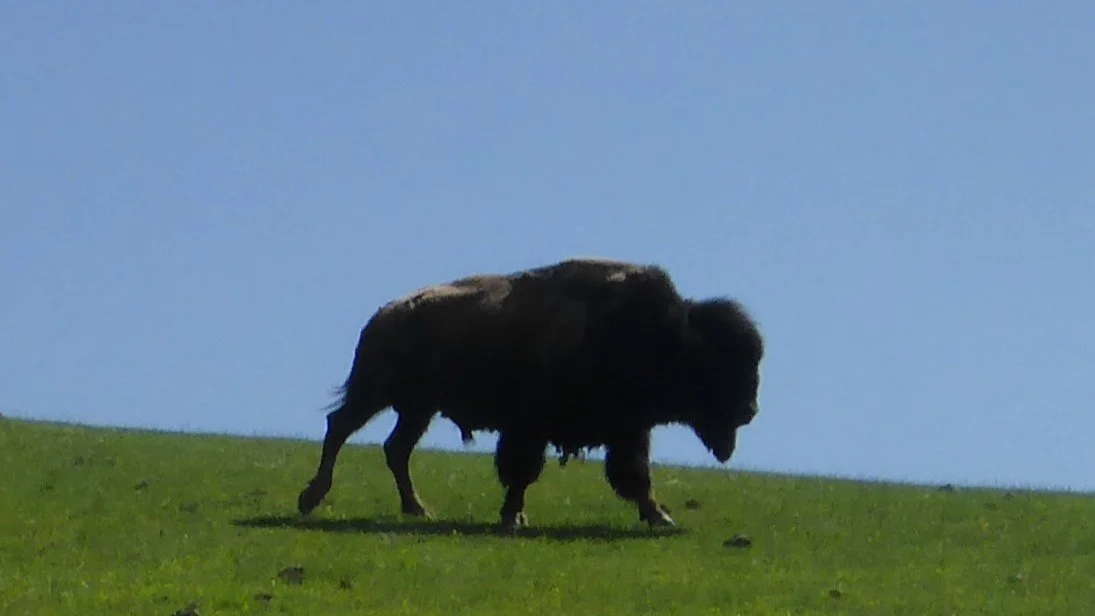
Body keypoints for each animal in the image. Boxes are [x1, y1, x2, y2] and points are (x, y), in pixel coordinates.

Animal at [296, 257, 765, 530]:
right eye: (717, 366)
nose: (749, 410)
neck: (664, 336)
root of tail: (385, 314)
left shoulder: (628, 430)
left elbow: (636, 475)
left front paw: (659, 516)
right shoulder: (531, 428)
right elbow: (522, 471)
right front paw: (512, 518)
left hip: (417, 409)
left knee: (395, 449)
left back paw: (417, 509)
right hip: (375, 393)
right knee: (339, 428)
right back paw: (311, 498)